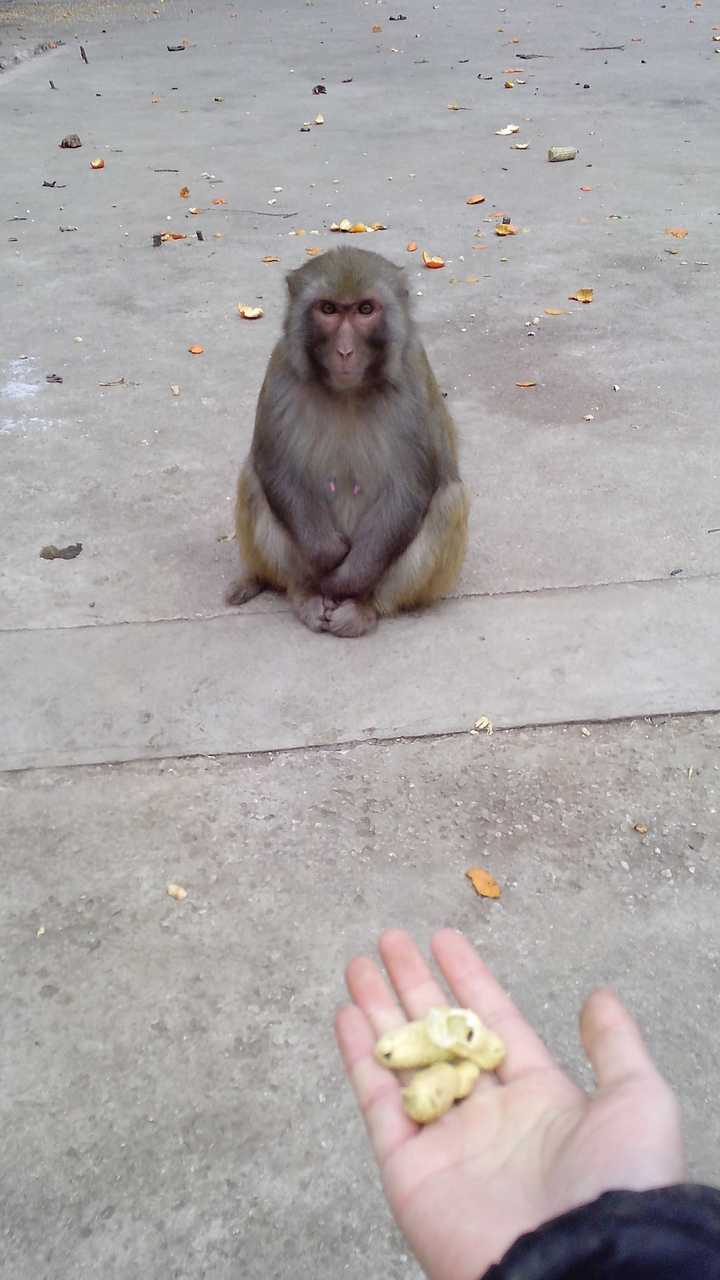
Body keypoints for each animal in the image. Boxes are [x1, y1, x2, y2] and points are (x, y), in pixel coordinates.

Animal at [226, 241, 468, 637]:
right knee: (252, 479)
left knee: (450, 500)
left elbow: (412, 486)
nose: (344, 351)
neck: (348, 393)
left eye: (365, 310)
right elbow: (274, 466)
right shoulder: (280, 371)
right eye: (328, 309)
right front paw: (327, 555)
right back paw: (303, 592)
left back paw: (363, 606)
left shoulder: (414, 377)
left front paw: (347, 579)